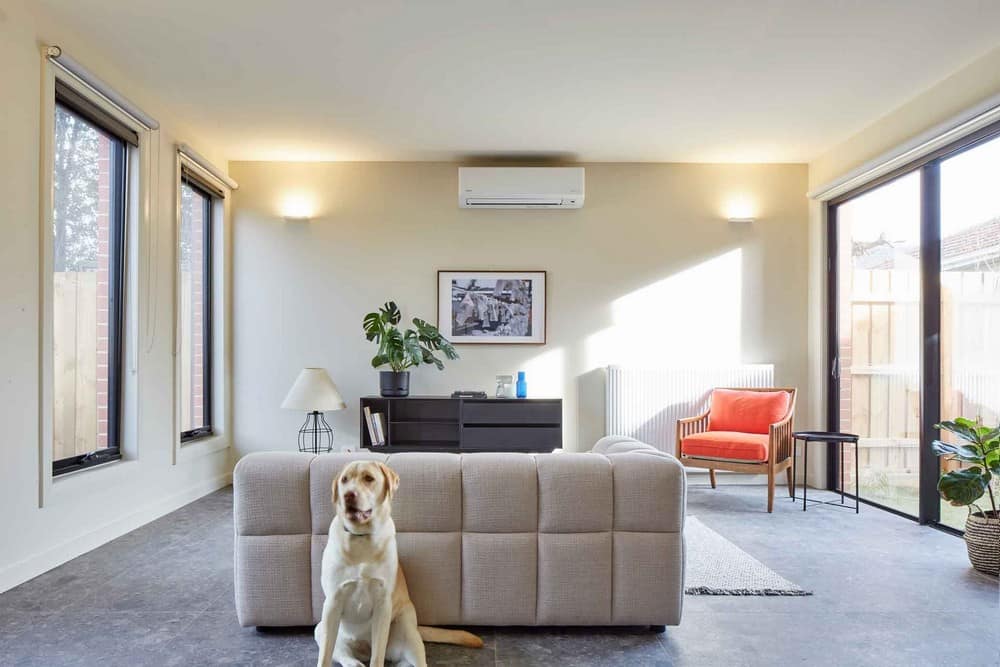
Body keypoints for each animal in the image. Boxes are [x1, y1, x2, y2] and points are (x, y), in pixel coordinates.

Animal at [314, 460, 482, 667]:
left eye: (368, 478)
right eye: (344, 480)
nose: (348, 495)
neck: (361, 538)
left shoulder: (383, 605)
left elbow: (377, 656)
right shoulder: (332, 602)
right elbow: (324, 657)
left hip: (407, 628)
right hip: (320, 628)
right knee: (345, 656)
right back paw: (355, 663)